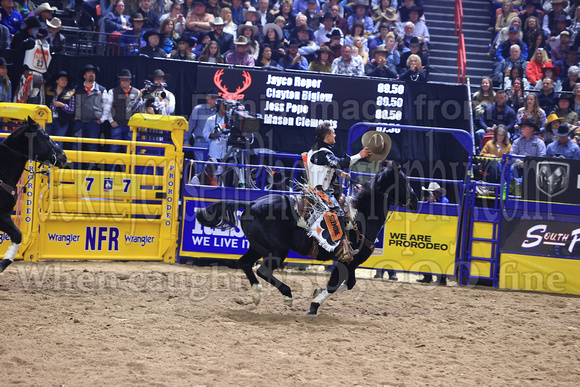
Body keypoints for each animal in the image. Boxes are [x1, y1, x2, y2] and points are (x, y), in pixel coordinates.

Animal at [197, 162, 420, 316]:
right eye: (405, 181)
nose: (416, 200)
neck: (362, 215)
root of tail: (251, 203)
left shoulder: (351, 262)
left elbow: (349, 284)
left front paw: (316, 292)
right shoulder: (347, 260)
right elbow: (336, 285)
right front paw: (314, 305)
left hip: (258, 246)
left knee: (245, 263)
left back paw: (257, 294)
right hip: (277, 251)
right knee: (263, 270)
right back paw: (287, 296)